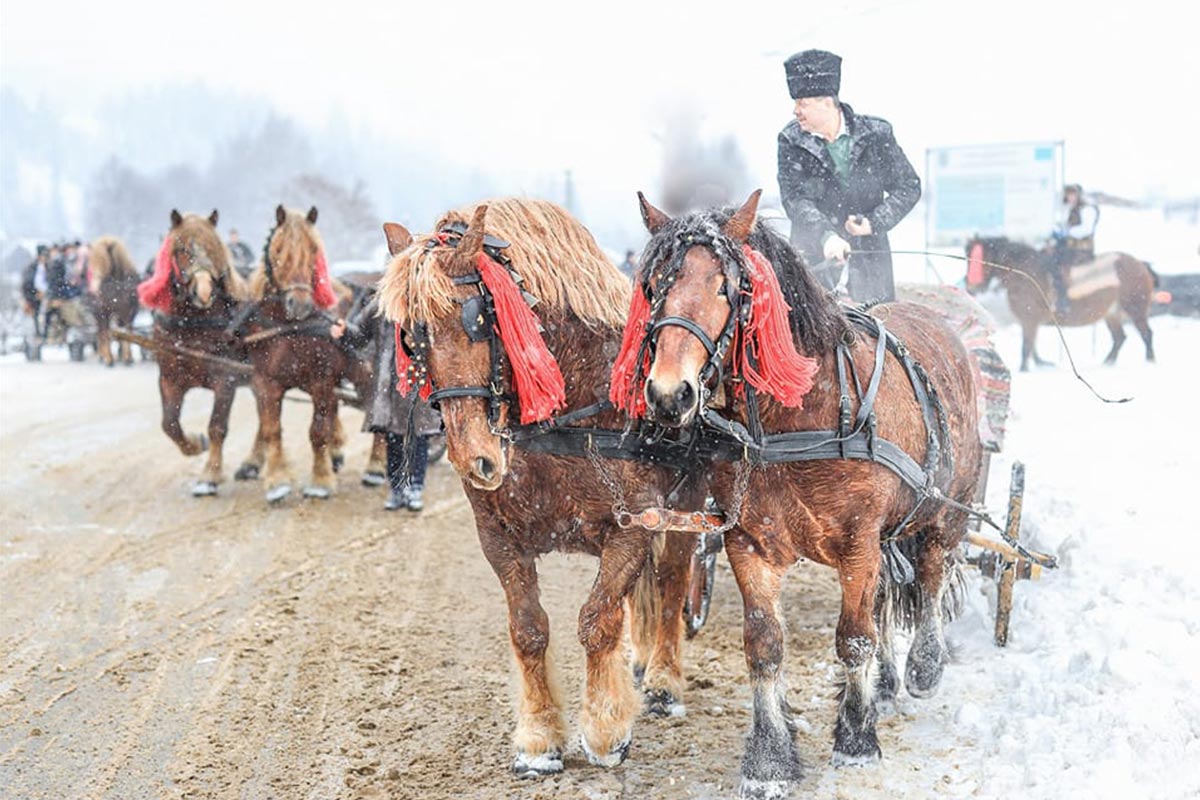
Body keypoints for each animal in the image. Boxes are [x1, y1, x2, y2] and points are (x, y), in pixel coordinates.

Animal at [85, 232, 140, 367]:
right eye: (91, 262)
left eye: (104, 260)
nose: (94, 290)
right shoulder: (103, 312)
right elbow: (106, 334)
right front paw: (109, 359)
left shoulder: (128, 312)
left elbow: (127, 332)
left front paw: (127, 358)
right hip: (98, 314)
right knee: (101, 332)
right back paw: (103, 355)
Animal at [138, 208, 260, 494]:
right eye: (181, 248)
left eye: (213, 248)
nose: (203, 291)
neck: (193, 325)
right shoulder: (169, 378)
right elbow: (169, 424)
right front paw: (194, 444)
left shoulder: (225, 377)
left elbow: (217, 426)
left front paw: (210, 475)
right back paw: (252, 464)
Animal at [379, 199, 700, 777]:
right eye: (412, 336)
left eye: (476, 320)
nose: (475, 459)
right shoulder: (498, 535)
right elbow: (529, 629)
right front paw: (538, 740)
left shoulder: (635, 525)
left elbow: (597, 620)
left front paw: (605, 731)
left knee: (670, 581)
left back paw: (663, 681)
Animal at [609, 190, 984, 796]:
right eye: (652, 285)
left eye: (729, 287)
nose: (669, 394)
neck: (797, 420)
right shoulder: (747, 541)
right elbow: (764, 645)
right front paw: (769, 758)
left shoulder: (859, 543)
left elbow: (853, 638)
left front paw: (856, 739)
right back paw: (884, 683)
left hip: (942, 510)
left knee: (931, 572)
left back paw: (924, 665)